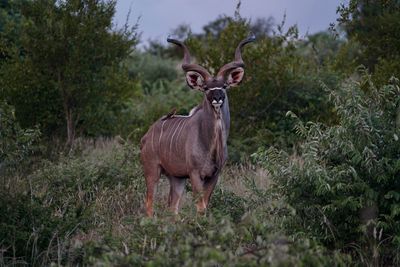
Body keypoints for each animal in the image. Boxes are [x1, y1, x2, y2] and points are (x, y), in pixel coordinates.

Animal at [140, 35, 253, 218]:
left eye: (224, 86)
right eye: (206, 87)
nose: (217, 98)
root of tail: (146, 136)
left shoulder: (214, 175)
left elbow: (205, 205)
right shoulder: (195, 174)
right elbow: (200, 207)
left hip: (176, 178)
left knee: (172, 208)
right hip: (152, 171)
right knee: (149, 204)